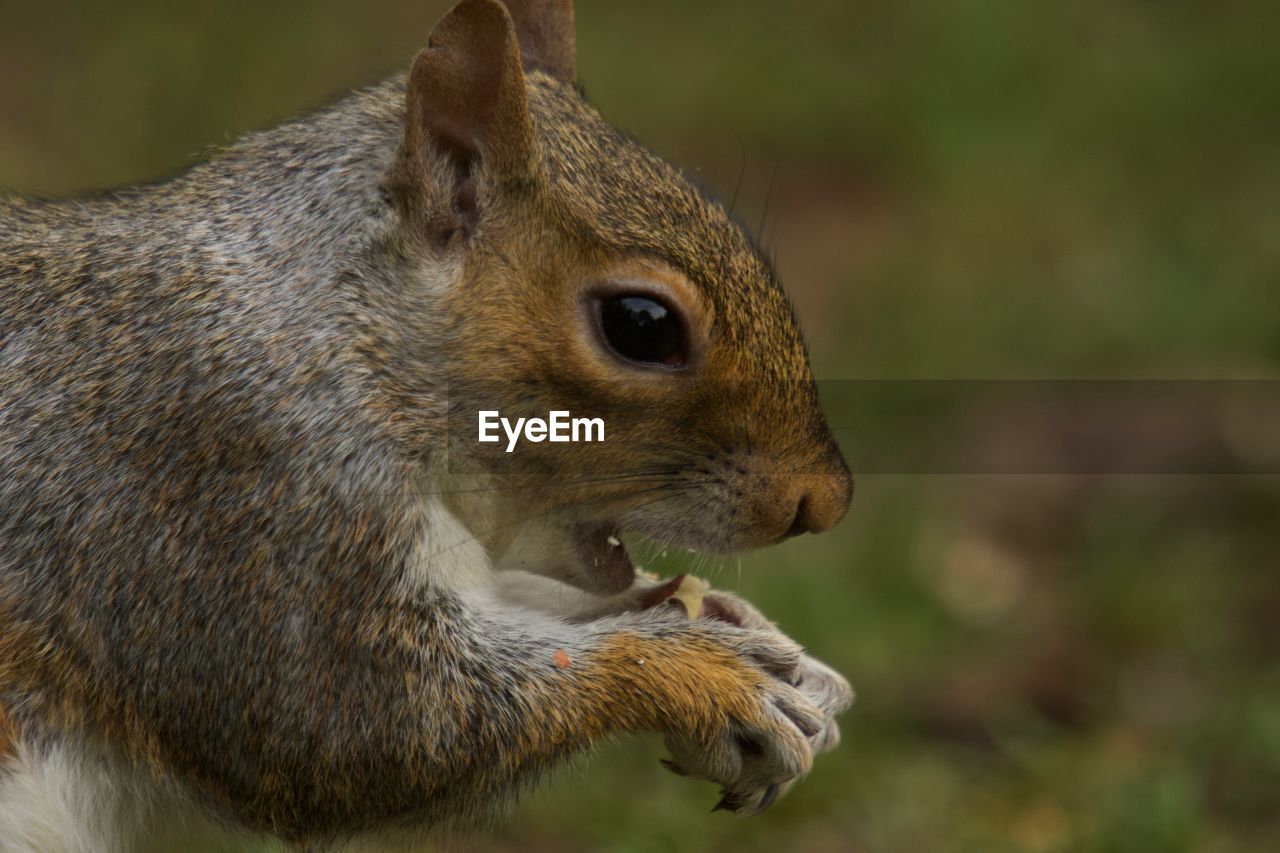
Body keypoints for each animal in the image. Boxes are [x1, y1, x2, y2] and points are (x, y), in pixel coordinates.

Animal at [2, 3, 860, 845]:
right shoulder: (238, 496)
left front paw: (767, 643)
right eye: (640, 325)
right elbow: (371, 722)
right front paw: (709, 674)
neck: (344, 333)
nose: (823, 502)